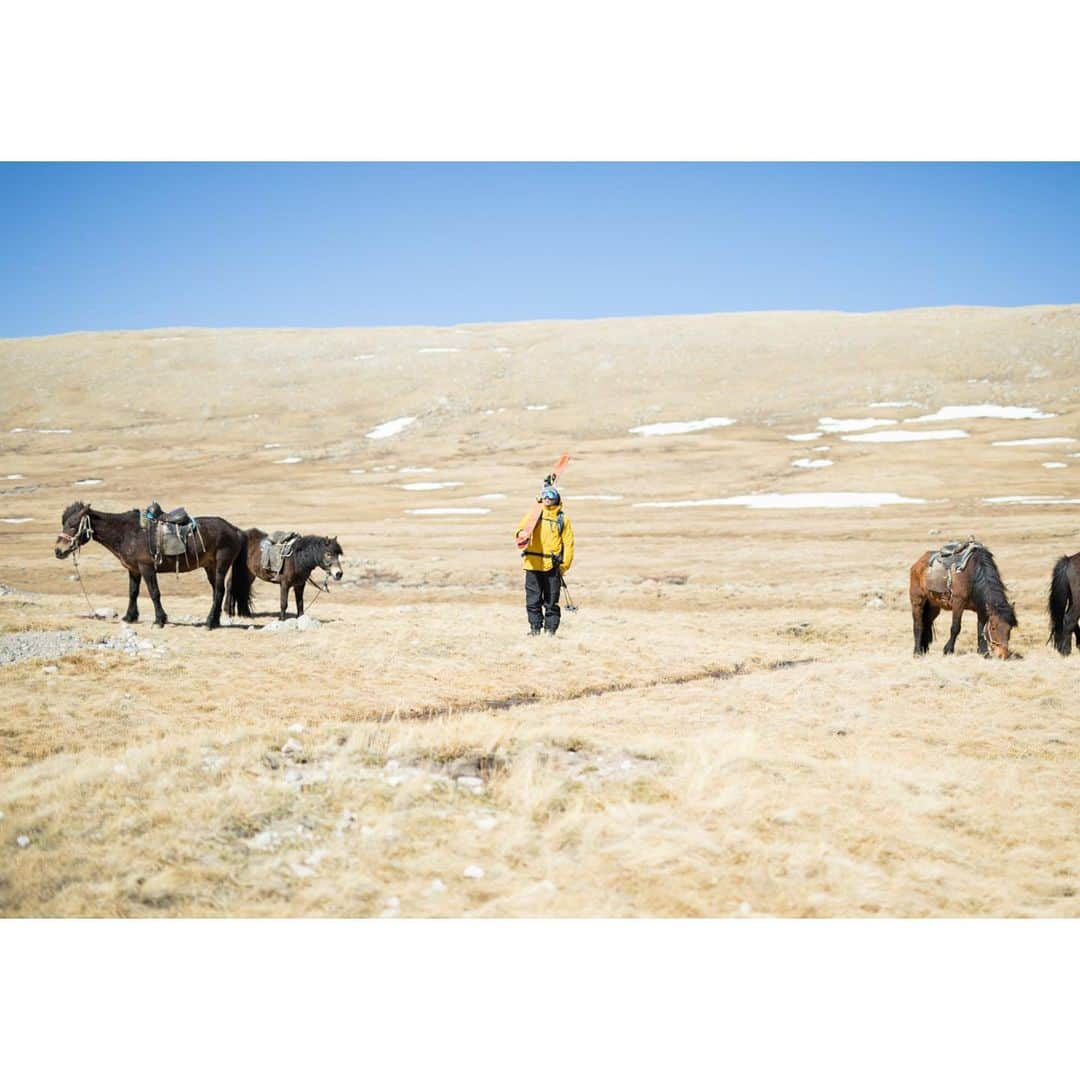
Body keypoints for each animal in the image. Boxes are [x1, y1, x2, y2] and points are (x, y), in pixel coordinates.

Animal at [54, 501, 252, 630]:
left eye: (73, 525)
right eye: (64, 523)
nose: (58, 551)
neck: (126, 532)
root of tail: (235, 530)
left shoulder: (146, 568)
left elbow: (154, 593)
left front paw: (160, 620)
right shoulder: (133, 569)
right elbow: (133, 592)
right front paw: (129, 617)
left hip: (220, 566)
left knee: (219, 591)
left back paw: (210, 623)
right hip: (209, 567)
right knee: (218, 592)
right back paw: (214, 621)